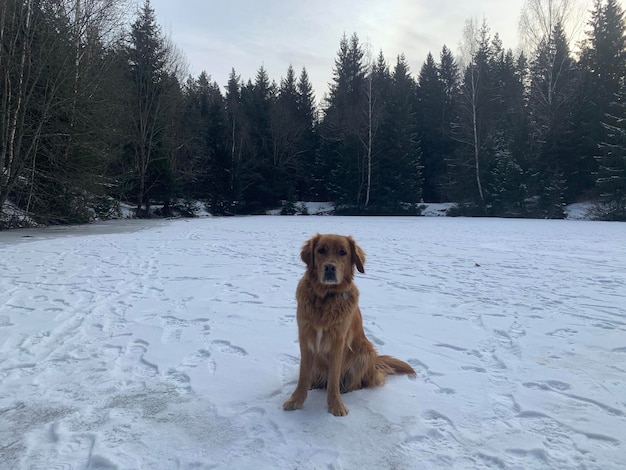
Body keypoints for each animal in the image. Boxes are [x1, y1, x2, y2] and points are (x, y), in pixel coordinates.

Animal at [282, 234, 414, 414]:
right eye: (321, 250)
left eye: (343, 252)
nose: (330, 268)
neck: (326, 298)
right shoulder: (306, 337)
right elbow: (303, 375)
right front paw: (295, 400)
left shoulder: (338, 341)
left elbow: (333, 379)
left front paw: (336, 405)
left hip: (365, 352)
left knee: (356, 384)